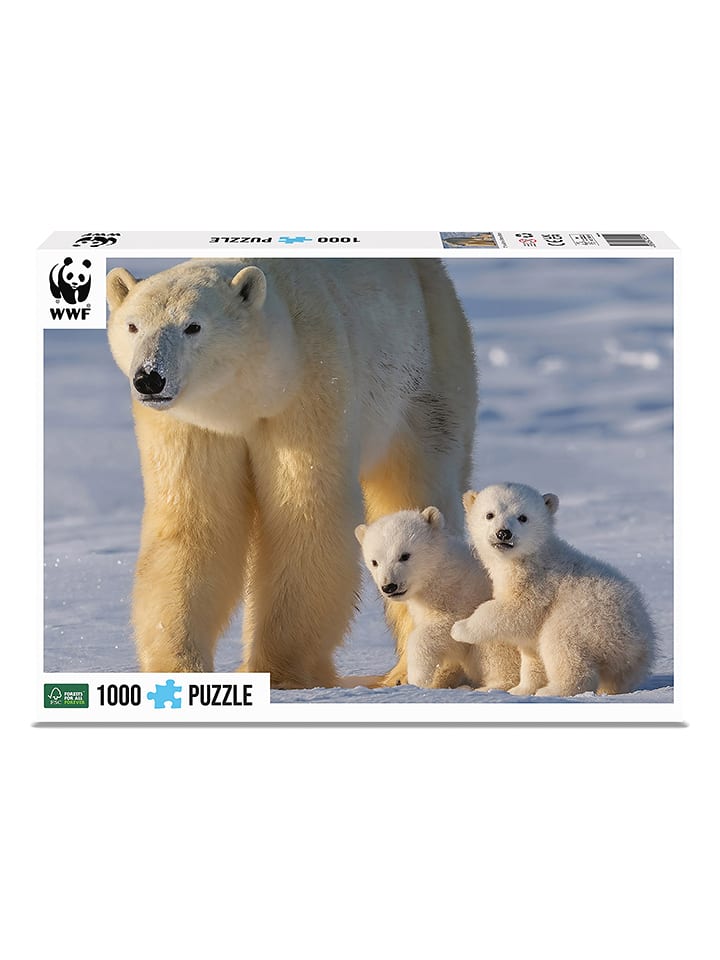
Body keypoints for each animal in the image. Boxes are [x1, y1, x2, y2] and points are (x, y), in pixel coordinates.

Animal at [106, 258, 477, 687]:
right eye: (133, 326)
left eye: (192, 325)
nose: (150, 378)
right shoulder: (191, 425)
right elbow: (194, 525)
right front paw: (178, 666)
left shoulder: (310, 389)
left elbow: (304, 518)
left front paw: (279, 671)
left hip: (426, 371)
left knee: (415, 484)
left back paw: (413, 672)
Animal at [355, 507, 520, 690]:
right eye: (374, 562)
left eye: (405, 555)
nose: (389, 586)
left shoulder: (463, 596)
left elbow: (446, 629)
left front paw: (418, 677)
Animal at [450, 483, 656, 697]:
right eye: (490, 514)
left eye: (523, 517)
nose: (504, 533)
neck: (529, 557)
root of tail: (640, 640)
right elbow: (531, 653)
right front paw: (520, 690)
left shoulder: (538, 584)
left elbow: (515, 610)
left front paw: (460, 628)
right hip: (625, 659)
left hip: (587, 619)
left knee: (560, 643)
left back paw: (553, 690)